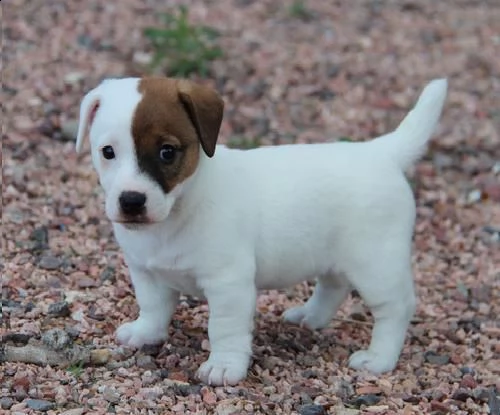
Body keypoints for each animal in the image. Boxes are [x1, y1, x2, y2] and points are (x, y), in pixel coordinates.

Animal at [76, 77, 448, 386]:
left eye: (167, 152)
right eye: (107, 152)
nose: (131, 201)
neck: (181, 206)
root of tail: (380, 152)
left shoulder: (228, 284)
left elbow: (224, 328)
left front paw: (224, 366)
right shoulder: (146, 272)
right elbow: (152, 307)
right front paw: (146, 333)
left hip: (375, 264)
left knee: (396, 307)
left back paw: (379, 358)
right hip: (333, 255)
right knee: (333, 285)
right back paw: (310, 316)